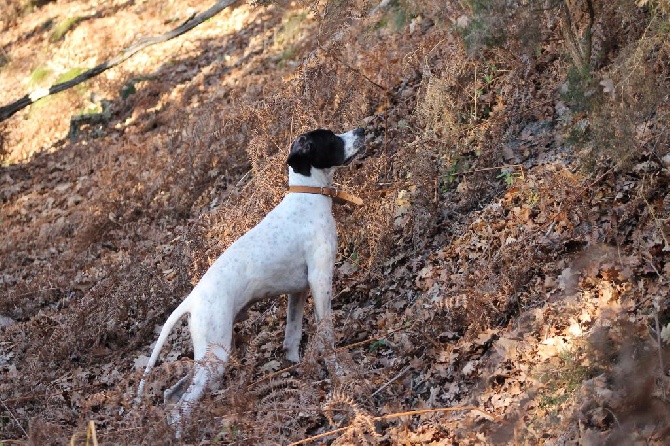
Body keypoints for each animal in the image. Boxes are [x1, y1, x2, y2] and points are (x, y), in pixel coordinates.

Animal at [138, 127, 368, 426]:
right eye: (330, 139)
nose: (361, 130)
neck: (308, 195)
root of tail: (191, 300)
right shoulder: (320, 281)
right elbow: (327, 336)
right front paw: (338, 373)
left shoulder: (298, 291)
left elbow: (292, 337)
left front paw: (296, 369)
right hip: (217, 355)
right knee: (180, 409)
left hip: (210, 353)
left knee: (171, 394)